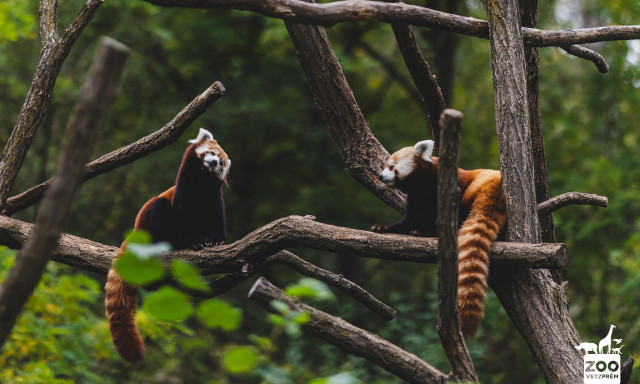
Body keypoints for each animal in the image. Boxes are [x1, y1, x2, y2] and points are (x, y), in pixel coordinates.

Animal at [105, 128, 232, 364]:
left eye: (220, 163)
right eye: (211, 153)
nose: (212, 162)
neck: (201, 183)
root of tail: (136, 230)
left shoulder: (215, 199)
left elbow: (218, 219)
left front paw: (217, 240)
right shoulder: (183, 193)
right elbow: (183, 221)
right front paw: (194, 242)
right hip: (151, 218)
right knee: (158, 206)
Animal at [372, 140, 508, 338]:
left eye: (391, 166)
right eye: (384, 166)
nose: (381, 176)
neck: (420, 184)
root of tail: (496, 188)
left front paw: (423, 230)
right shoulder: (417, 200)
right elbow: (408, 220)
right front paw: (384, 228)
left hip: (470, 192)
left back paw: (425, 233)